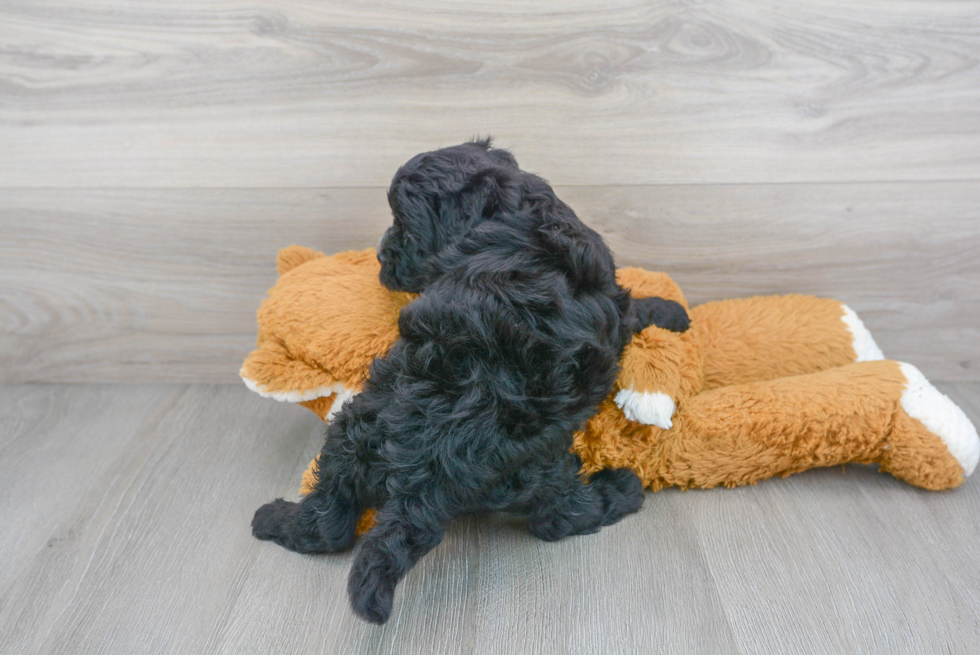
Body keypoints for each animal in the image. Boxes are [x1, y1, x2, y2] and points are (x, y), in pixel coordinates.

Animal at [253, 140, 684, 624]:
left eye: (405, 228)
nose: (381, 256)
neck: (512, 211)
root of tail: (425, 470)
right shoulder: (612, 298)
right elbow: (635, 309)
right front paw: (672, 310)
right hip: (536, 466)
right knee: (559, 517)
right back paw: (622, 489)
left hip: (353, 431)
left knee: (328, 519)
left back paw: (272, 518)